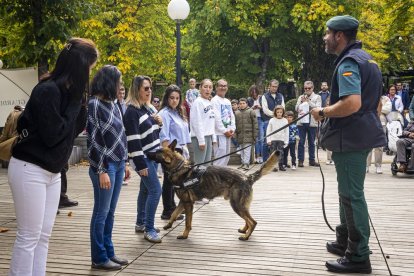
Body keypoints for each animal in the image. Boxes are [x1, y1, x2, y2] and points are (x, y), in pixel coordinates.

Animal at [146, 141, 278, 240]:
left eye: (157, 152)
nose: (146, 152)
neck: (179, 167)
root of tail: (247, 177)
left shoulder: (188, 204)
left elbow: (187, 222)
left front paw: (184, 235)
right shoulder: (183, 202)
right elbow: (174, 214)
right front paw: (168, 225)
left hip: (236, 205)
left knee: (253, 222)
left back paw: (246, 237)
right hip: (241, 205)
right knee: (248, 219)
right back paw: (244, 230)